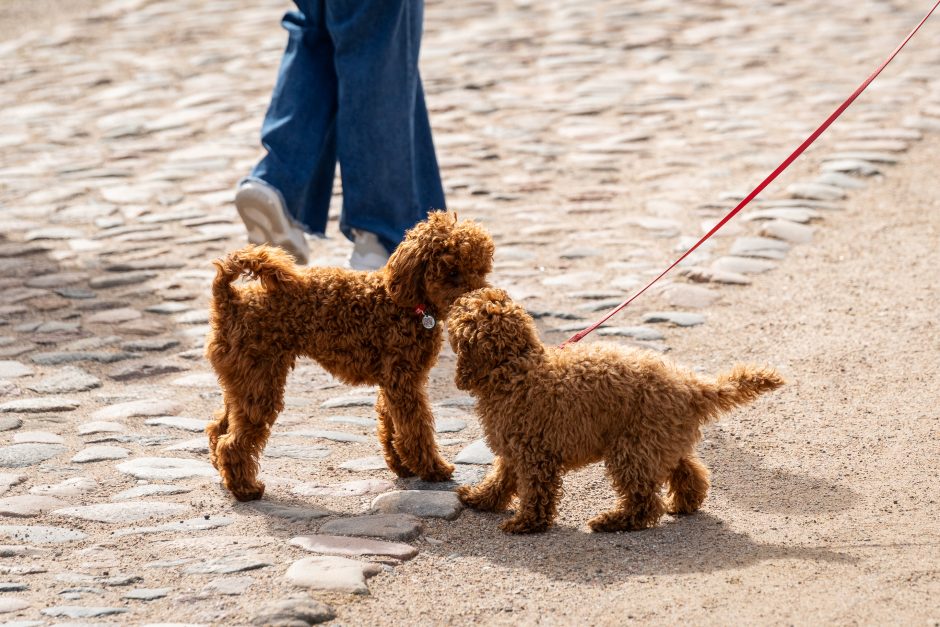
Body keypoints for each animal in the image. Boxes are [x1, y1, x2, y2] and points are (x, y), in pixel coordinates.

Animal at [203, 213, 496, 502]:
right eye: (451, 272)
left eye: (480, 269)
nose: (478, 300)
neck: (407, 304)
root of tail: (229, 298)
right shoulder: (404, 382)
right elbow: (415, 429)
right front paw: (432, 469)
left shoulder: (394, 383)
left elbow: (391, 426)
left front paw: (402, 465)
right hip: (260, 381)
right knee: (232, 441)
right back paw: (245, 488)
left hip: (243, 381)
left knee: (219, 427)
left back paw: (223, 471)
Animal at [444, 290, 784, 536]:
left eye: (463, 310)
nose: (450, 305)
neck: (516, 366)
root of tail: (689, 386)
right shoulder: (514, 449)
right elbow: (500, 479)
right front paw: (481, 499)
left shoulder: (533, 453)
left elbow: (535, 492)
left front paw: (526, 524)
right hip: (658, 440)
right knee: (689, 472)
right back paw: (685, 503)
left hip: (632, 448)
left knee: (644, 501)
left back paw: (613, 521)